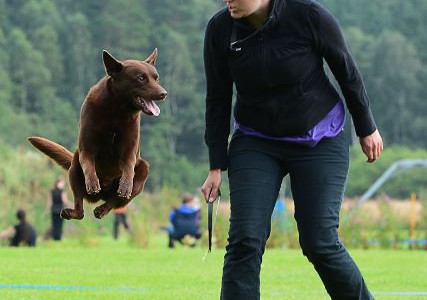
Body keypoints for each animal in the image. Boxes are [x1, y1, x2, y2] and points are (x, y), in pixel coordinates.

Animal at [28, 49, 167, 220]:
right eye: (141, 78)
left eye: (156, 77)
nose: (164, 93)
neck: (116, 111)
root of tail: (101, 196)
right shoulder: (86, 148)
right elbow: (88, 164)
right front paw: (93, 182)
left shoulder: (129, 150)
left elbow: (128, 167)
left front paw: (125, 185)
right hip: (74, 166)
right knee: (80, 209)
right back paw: (73, 211)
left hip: (143, 171)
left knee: (114, 200)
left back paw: (101, 209)